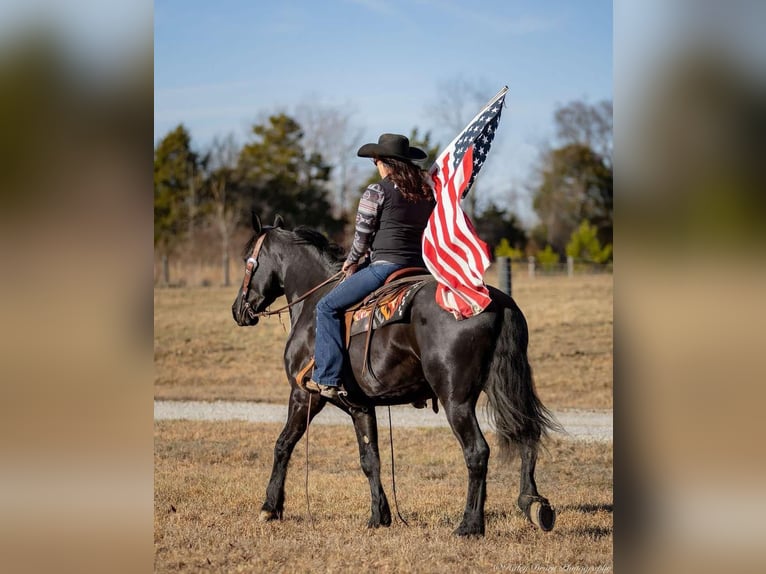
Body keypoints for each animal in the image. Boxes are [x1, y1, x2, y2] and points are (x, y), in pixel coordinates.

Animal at [231, 214, 560, 536]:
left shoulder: (304, 395)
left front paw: (270, 507)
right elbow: (370, 459)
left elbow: (283, 444)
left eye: (248, 259)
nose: (237, 310)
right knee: (526, 434)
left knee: (477, 452)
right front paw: (380, 516)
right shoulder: (361, 406)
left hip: (456, 401)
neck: (314, 305)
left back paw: (469, 525)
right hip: (505, 387)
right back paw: (533, 504)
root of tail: (497, 302)